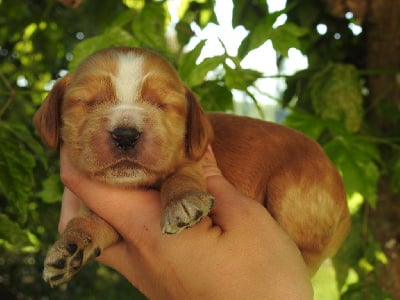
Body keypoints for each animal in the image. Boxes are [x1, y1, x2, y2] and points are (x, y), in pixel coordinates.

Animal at [36, 46, 352, 286]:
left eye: (162, 105)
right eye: (87, 102)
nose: (125, 135)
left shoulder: (191, 164)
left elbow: (180, 180)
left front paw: (182, 203)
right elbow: (90, 220)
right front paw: (70, 245)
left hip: (290, 189)